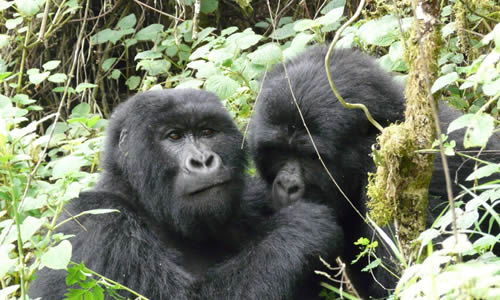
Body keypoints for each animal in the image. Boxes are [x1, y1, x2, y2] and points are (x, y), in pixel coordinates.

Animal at [29, 88, 344, 298]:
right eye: (174, 136)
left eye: (207, 132)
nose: (203, 161)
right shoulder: (99, 223)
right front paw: (301, 227)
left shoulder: (250, 199)